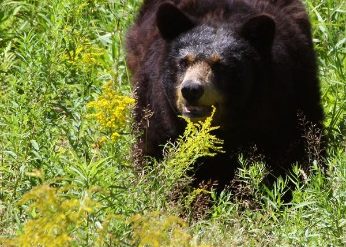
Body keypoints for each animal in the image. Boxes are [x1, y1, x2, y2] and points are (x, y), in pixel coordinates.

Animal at [126, 0, 324, 189]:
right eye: (183, 62)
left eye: (220, 65)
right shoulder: (156, 105)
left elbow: (289, 145)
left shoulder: (280, 100)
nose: (191, 90)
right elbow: (155, 146)